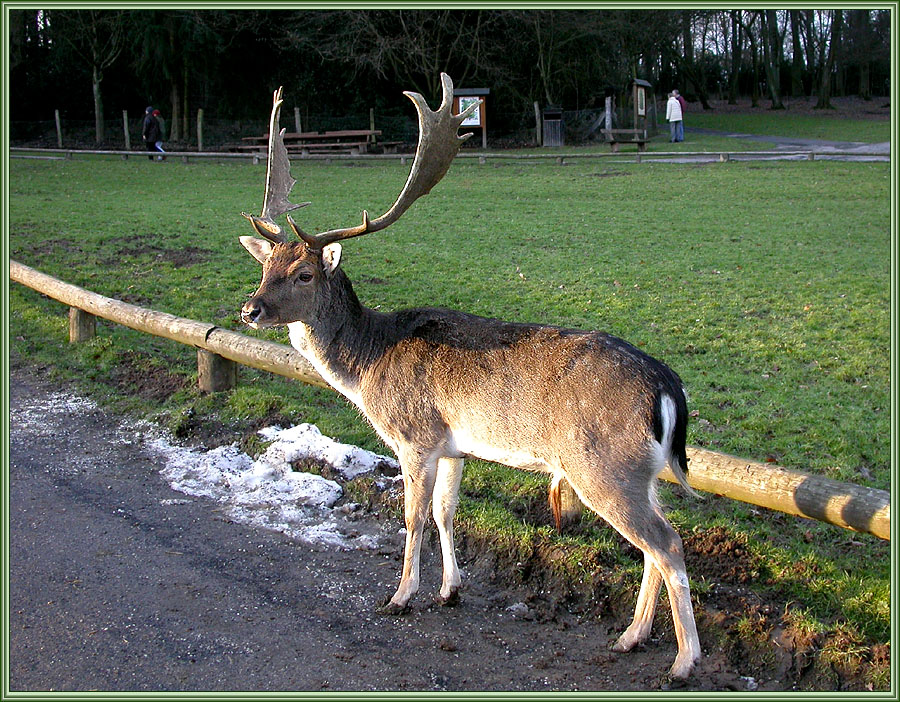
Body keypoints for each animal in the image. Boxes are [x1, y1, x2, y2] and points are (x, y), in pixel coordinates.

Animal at [239, 74, 704, 680]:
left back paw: (684, 661)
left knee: (667, 544)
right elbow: (445, 512)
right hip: (640, 472)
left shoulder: (414, 435)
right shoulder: (454, 444)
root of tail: (668, 389)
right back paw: (631, 636)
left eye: (303, 273)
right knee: (656, 543)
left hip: (601, 464)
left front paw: (400, 596)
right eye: (264, 265)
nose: (250, 310)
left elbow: (413, 517)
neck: (368, 365)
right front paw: (450, 589)